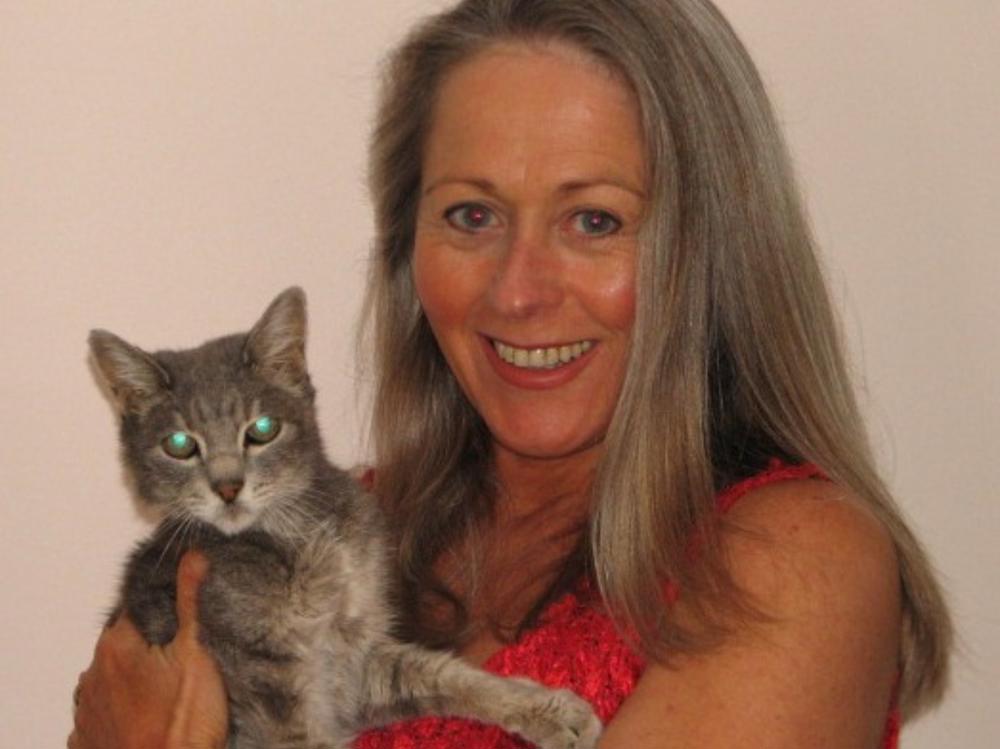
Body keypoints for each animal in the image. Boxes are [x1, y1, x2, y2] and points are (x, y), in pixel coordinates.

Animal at [88, 286, 602, 749]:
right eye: (179, 445)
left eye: (262, 430)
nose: (228, 487)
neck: (300, 534)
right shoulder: (272, 697)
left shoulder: (355, 658)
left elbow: (443, 672)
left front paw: (547, 710)